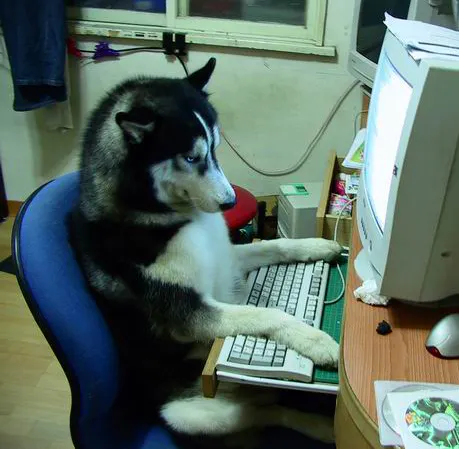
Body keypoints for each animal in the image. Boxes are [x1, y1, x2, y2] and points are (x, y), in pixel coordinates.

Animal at [71, 58, 342, 444]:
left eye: (215, 149)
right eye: (190, 157)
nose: (230, 202)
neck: (169, 217)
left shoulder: (230, 261)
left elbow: (277, 244)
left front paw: (317, 245)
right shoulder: (189, 313)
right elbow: (264, 313)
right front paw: (314, 338)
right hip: (196, 414)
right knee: (266, 412)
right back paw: (321, 426)